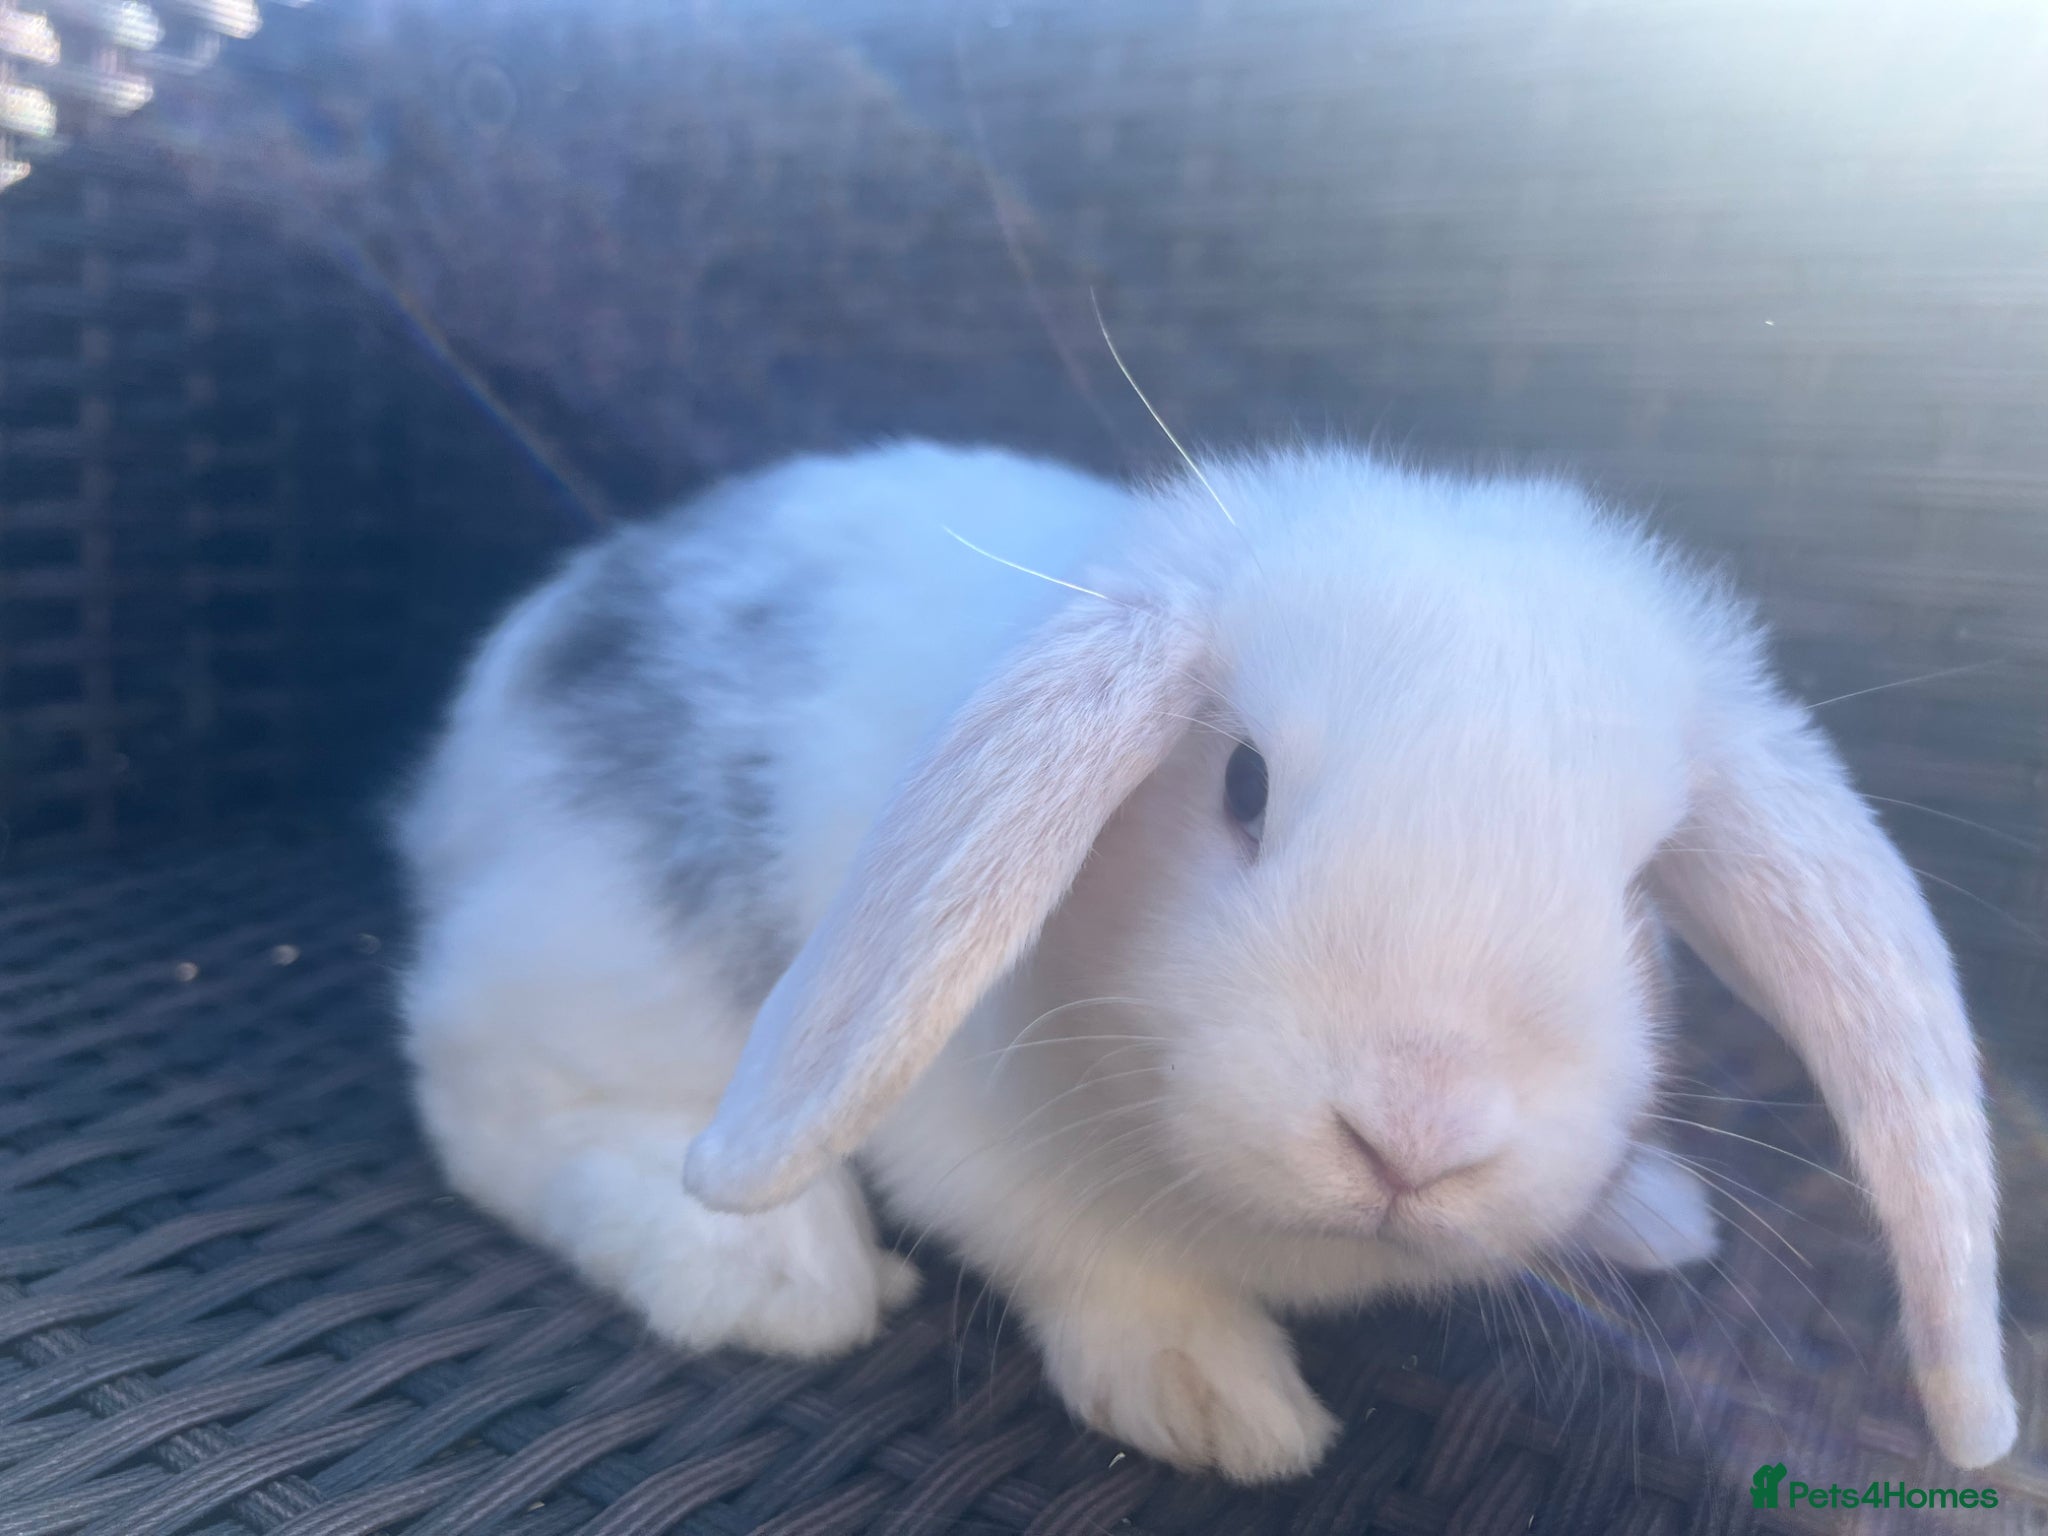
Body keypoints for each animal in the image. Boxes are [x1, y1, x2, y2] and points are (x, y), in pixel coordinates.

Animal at [393, 439, 2015, 1482]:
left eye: (1636, 885)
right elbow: (1092, 1256)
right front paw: (1216, 1402)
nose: (1414, 1133)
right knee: (498, 1093)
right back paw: (769, 1270)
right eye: (1241, 784)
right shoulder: (979, 1148)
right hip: (603, 953)